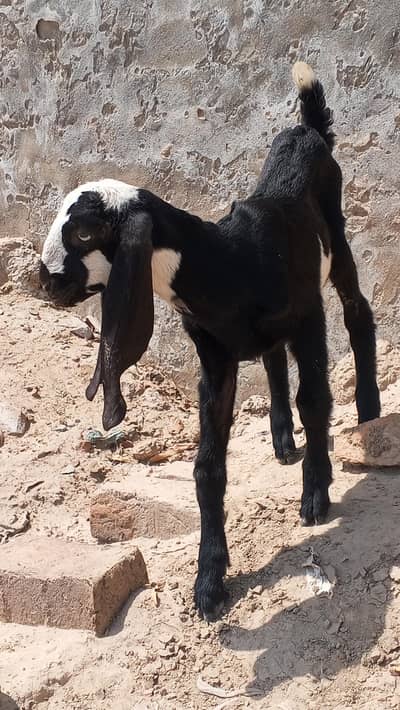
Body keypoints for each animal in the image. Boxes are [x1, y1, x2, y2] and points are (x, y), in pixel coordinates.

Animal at [39, 62, 380, 620]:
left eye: (86, 234)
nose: (44, 281)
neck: (230, 262)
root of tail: (305, 131)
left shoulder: (308, 318)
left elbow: (314, 399)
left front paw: (316, 496)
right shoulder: (215, 359)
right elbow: (207, 467)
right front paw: (210, 581)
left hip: (337, 236)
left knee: (357, 312)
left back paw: (369, 411)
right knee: (272, 358)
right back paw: (283, 441)